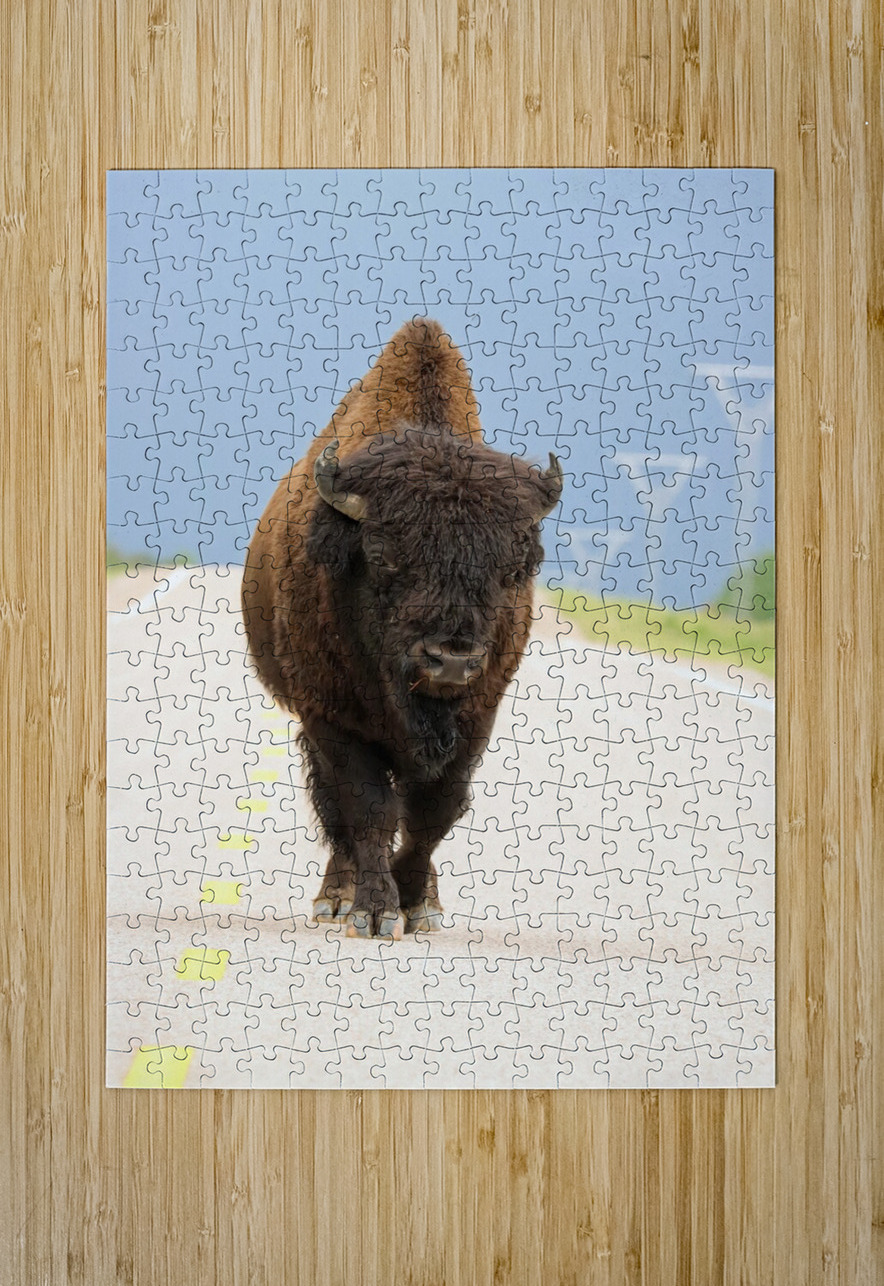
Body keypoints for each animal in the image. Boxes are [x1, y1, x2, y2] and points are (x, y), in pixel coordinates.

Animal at [241, 319, 563, 938]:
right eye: (384, 556)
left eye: (513, 568)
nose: (451, 659)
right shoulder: (331, 716)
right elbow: (368, 809)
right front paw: (373, 911)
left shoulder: (477, 715)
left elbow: (434, 812)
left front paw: (417, 903)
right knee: (337, 812)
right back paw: (335, 899)